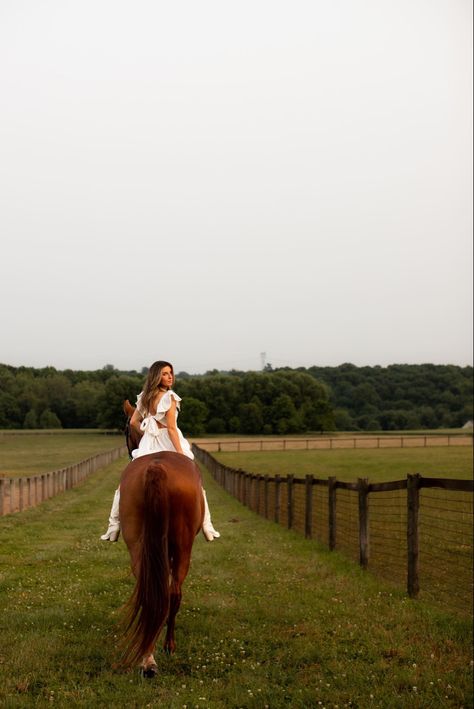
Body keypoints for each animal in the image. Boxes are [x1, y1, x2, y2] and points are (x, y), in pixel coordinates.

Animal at [118, 402, 204, 672]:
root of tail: (157, 468)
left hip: (139, 545)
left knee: (150, 592)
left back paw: (148, 657)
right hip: (183, 547)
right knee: (173, 593)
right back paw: (166, 646)